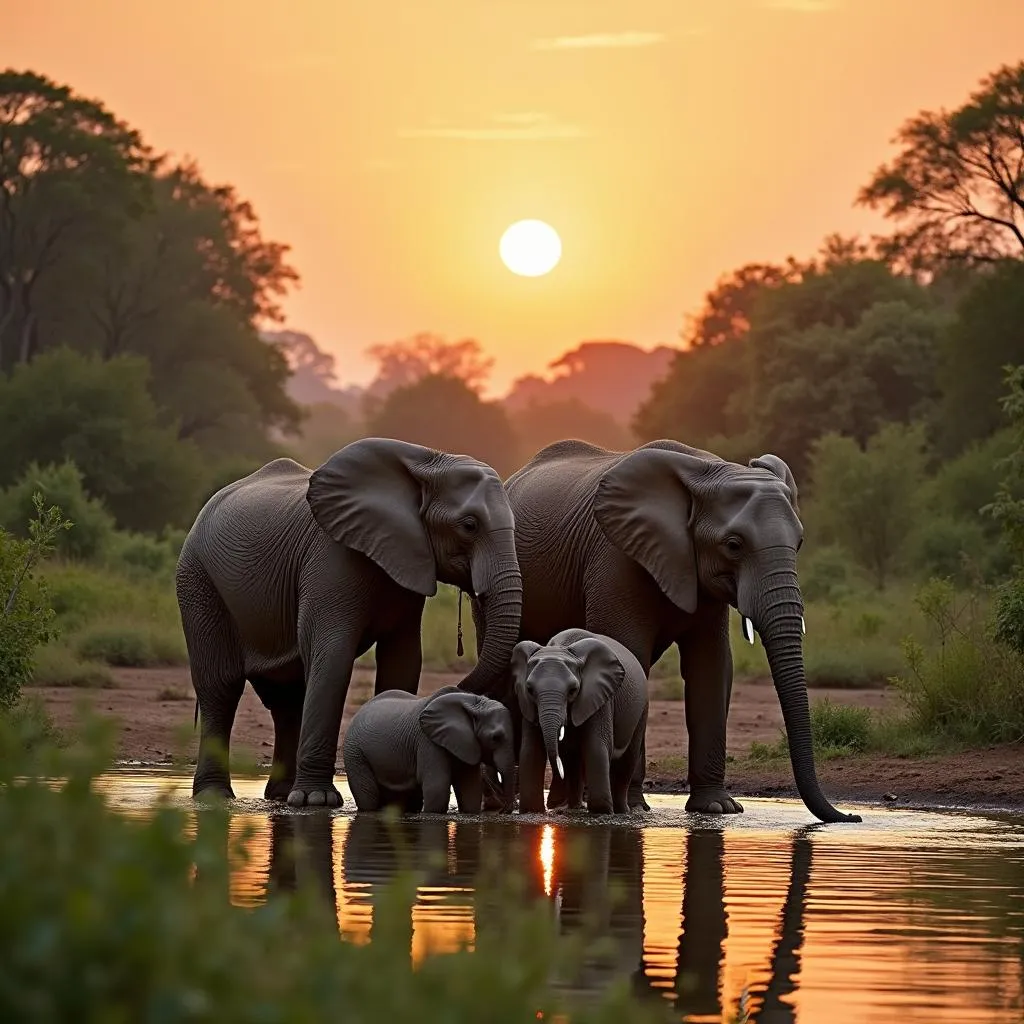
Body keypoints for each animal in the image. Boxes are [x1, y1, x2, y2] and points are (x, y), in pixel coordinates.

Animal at [344, 688, 516, 815]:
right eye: (495, 738)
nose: (502, 812)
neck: (472, 702)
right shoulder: (427, 741)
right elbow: (437, 787)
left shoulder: (468, 744)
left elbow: (470, 789)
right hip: (355, 752)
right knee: (369, 795)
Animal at [509, 622, 647, 815]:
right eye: (529, 689)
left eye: (573, 690)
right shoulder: (528, 704)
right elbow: (531, 749)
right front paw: (531, 812)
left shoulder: (600, 698)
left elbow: (596, 745)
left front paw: (601, 811)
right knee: (573, 760)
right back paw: (573, 808)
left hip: (642, 707)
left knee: (627, 759)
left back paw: (622, 811)